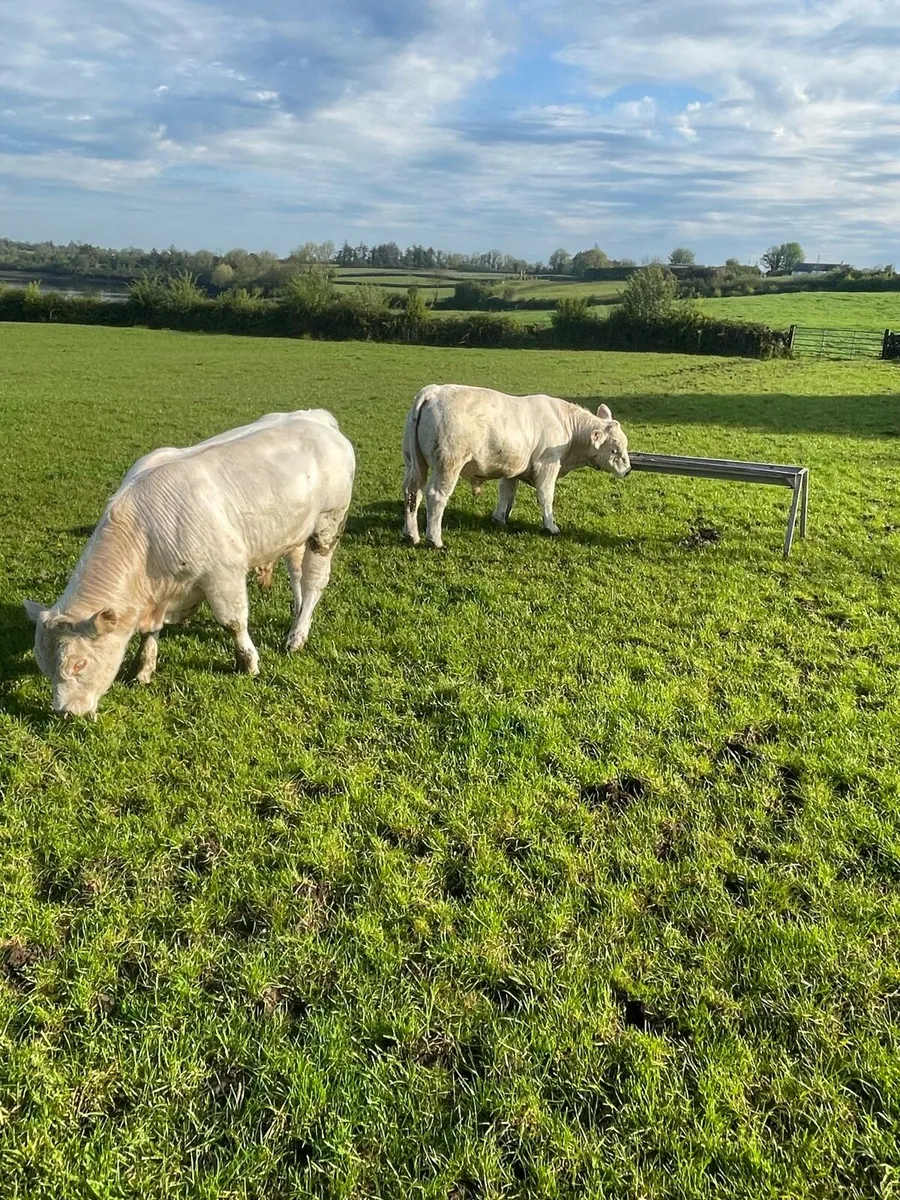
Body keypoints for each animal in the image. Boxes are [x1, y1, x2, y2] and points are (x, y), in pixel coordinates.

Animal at [24, 410, 355, 717]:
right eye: (43, 664)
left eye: (79, 663)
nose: (65, 712)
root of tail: (315, 418)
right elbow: (150, 633)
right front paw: (143, 669)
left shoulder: (223, 574)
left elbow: (233, 622)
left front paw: (247, 663)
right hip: (294, 534)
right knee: (296, 574)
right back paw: (296, 618)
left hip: (327, 525)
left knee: (313, 582)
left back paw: (297, 637)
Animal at [402, 383, 631, 548]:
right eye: (614, 450)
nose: (628, 470)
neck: (567, 426)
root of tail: (434, 390)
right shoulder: (547, 466)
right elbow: (546, 497)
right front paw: (551, 526)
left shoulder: (513, 469)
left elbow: (506, 493)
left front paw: (499, 519)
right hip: (448, 464)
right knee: (436, 496)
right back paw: (435, 539)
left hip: (414, 463)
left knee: (412, 492)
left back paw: (411, 534)